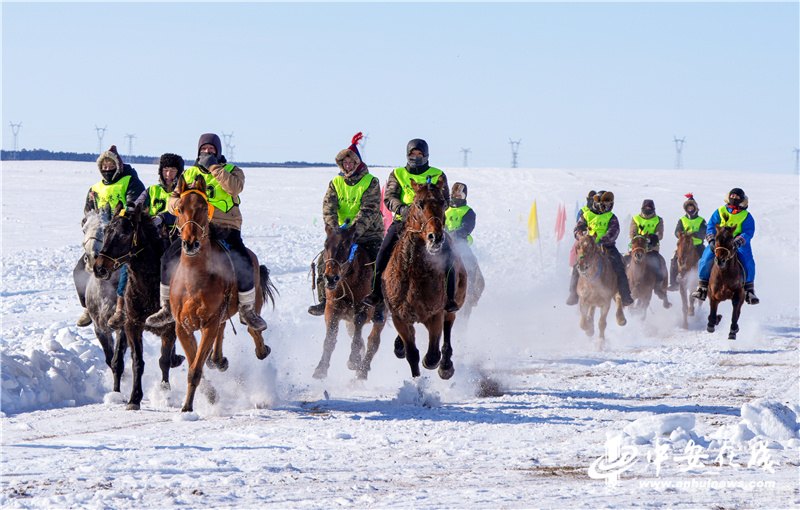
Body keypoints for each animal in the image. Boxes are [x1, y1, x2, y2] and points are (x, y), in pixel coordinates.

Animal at [80, 207, 127, 390]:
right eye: (84, 229)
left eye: (106, 228)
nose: (92, 257)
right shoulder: (100, 329)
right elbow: (109, 360)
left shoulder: (123, 328)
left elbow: (117, 362)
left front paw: (117, 392)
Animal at [94, 200, 186, 410]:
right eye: (107, 230)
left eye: (124, 234)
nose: (99, 267)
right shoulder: (132, 324)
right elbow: (137, 361)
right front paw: (134, 398)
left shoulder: (170, 327)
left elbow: (164, 361)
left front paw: (165, 394)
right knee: (117, 361)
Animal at [169, 173, 276, 412]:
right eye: (179, 208)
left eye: (202, 206)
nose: (190, 244)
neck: (194, 281)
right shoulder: (183, 327)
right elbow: (194, 363)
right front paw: (210, 395)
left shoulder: (209, 323)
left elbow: (195, 368)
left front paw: (187, 407)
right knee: (224, 329)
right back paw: (217, 359)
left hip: (249, 302)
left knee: (251, 328)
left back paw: (260, 348)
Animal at [312, 225, 384, 380]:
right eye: (326, 245)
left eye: (345, 246)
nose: (331, 278)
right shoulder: (332, 309)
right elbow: (330, 340)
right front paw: (321, 369)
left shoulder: (364, 309)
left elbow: (358, 331)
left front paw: (354, 360)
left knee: (373, 341)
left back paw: (362, 370)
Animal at [382, 179, 468, 378]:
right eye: (419, 204)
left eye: (443, 203)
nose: (435, 237)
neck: (413, 274)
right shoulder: (399, 317)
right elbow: (412, 354)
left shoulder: (435, 315)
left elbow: (431, 358)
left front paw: (439, 365)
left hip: (453, 305)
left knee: (448, 327)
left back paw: (446, 365)